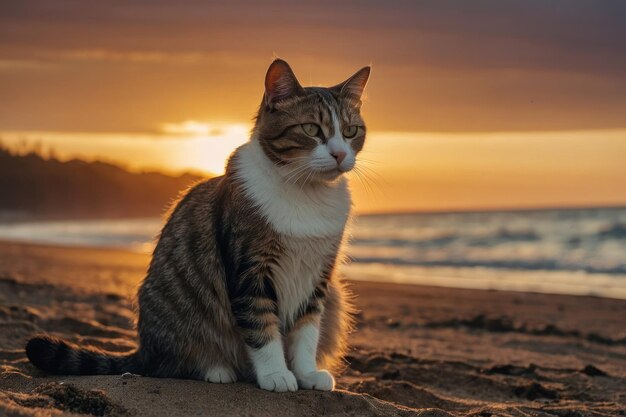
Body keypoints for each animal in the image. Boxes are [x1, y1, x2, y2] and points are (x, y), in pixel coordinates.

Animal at [26, 58, 370, 390]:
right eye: (311, 128)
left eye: (351, 131)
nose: (340, 154)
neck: (306, 193)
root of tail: (144, 350)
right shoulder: (250, 270)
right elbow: (261, 326)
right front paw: (275, 373)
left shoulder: (318, 276)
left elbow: (307, 331)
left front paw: (306, 373)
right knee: (175, 362)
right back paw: (216, 369)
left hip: (335, 296)